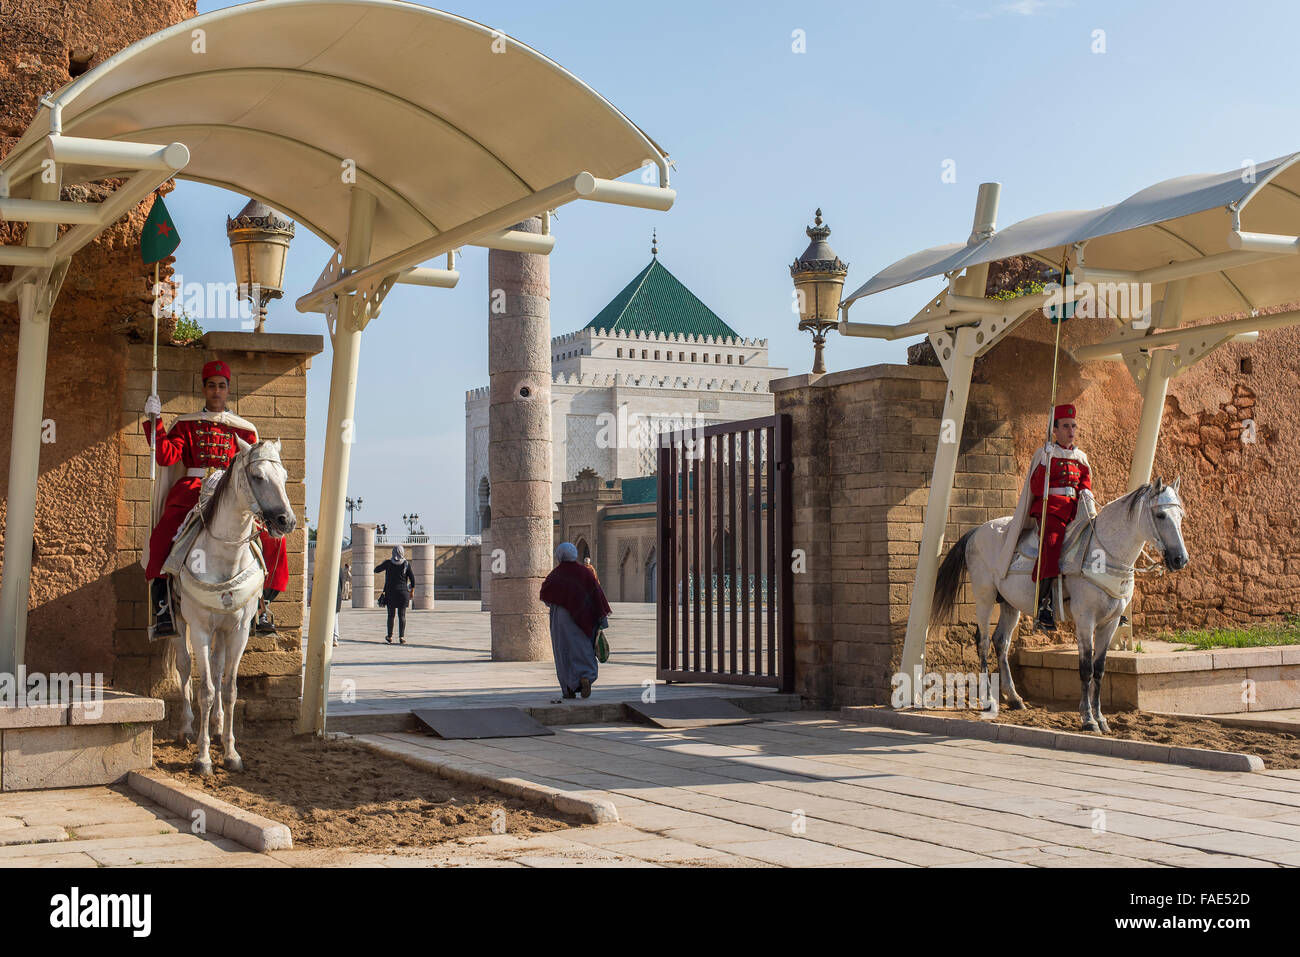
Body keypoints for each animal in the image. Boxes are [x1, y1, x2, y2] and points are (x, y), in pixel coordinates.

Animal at [165, 436, 295, 774]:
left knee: (219, 667)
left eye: (285, 476)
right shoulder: (199, 627)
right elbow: (206, 690)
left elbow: (230, 688)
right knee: (185, 667)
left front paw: (231, 752)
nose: (287, 521)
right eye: (258, 476)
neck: (224, 556)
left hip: (223, 630)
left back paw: (219, 726)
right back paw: (187, 727)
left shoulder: (239, 630)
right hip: (180, 621)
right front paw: (203, 758)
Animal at [935, 478, 1190, 733]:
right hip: (984, 597)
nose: (1180, 559)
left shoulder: (1110, 622)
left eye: (1180, 515)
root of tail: (977, 531)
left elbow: (1099, 669)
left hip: (1010, 603)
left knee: (1001, 641)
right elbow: (1086, 668)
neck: (1104, 554)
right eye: (1160, 515)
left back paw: (1015, 698)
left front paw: (1101, 719)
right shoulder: (1085, 620)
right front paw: (1088, 719)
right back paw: (989, 700)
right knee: (983, 642)